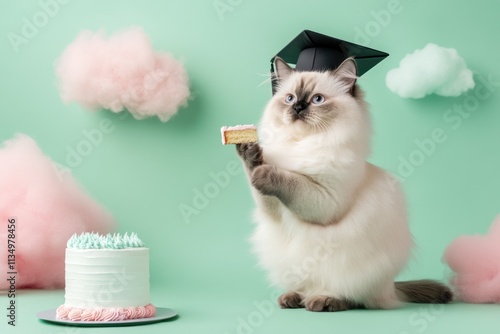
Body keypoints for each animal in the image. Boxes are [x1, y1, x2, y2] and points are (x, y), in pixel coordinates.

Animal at [235, 56, 454, 310]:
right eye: (289, 98)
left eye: (317, 99)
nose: (297, 107)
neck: (302, 143)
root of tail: (390, 288)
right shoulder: (271, 211)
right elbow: (258, 176)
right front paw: (250, 152)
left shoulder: (325, 201)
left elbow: (288, 179)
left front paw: (264, 171)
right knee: (306, 288)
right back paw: (293, 297)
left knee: (354, 298)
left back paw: (323, 300)